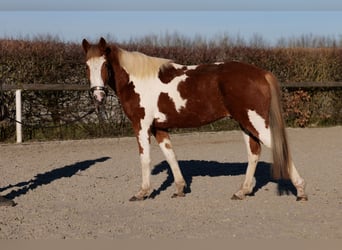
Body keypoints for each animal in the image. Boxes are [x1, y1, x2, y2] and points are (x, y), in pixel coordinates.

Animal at [82, 37, 308, 201]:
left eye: (104, 64)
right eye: (86, 65)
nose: (98, 95)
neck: (137, 80)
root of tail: (261, 73)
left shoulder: (141, 125)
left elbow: (144, 158)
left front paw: (142, 192)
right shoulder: (159, 128)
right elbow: (170, 156)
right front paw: (180, 189)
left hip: (256, 122)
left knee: (276, 148)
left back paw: (300, 191)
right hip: (246, 123)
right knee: (254, 153)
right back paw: (242, 191)